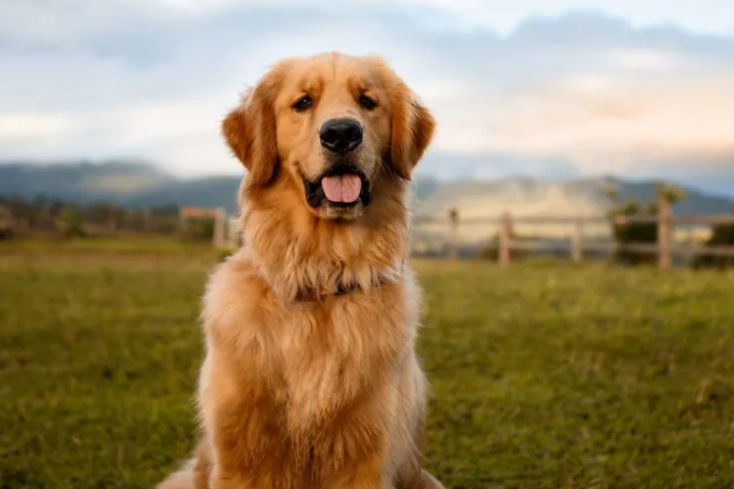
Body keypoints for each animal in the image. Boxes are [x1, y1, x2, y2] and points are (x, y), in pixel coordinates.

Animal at [160, 52, 442, 488]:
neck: (319, 277)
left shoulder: (366, 455)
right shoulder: (242, 456)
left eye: (367, 101)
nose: (341, 133)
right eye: (303, 102)